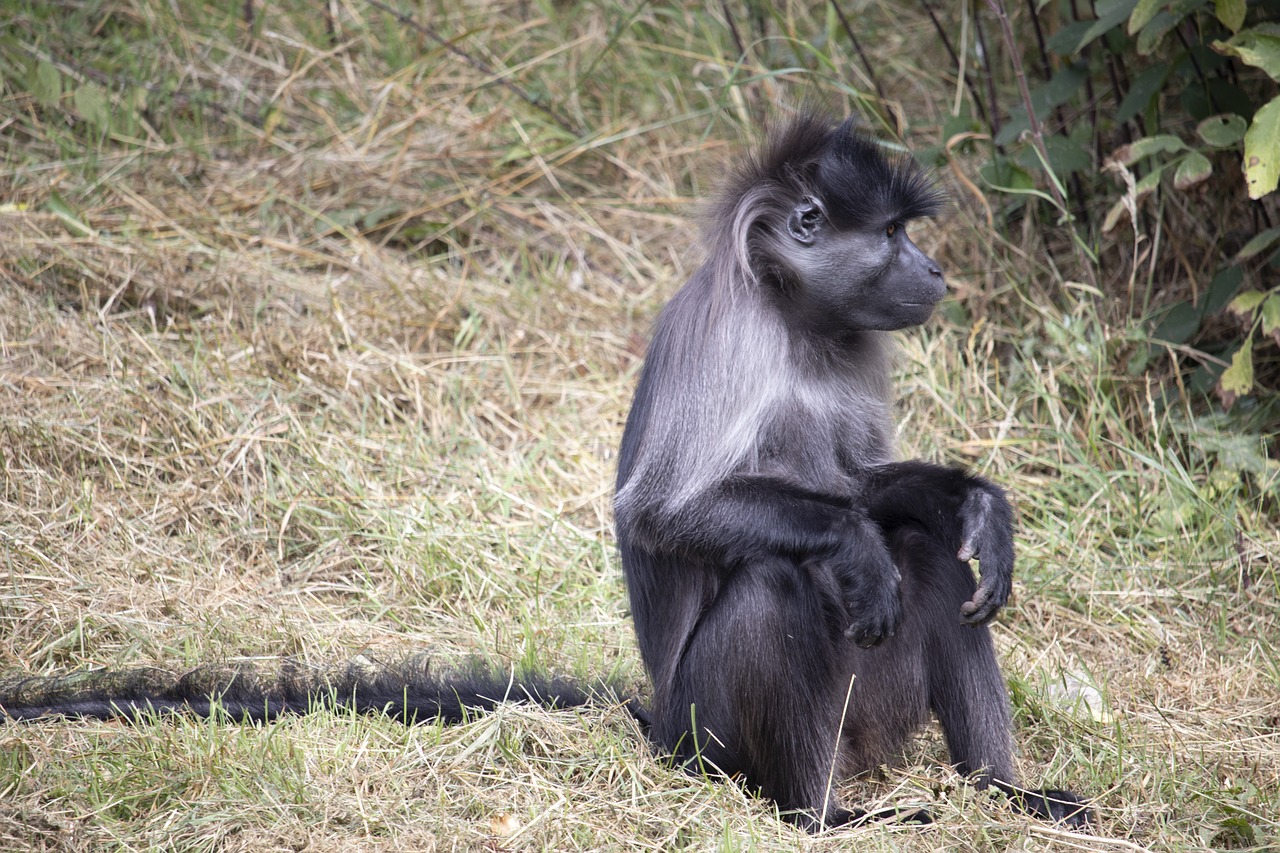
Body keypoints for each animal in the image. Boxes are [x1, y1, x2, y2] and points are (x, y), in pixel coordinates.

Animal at [0, 109, 1090, 835]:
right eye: (894, 236)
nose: (933, 273)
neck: (797, 322)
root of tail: (658, 720)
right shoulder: (732, 336)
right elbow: (666, 512)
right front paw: (854, 544)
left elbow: (873, 490)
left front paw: (971, 501)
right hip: (706, 727)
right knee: (786, 576)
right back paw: (816, 812)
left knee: (929, 555)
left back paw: (1001, 788)